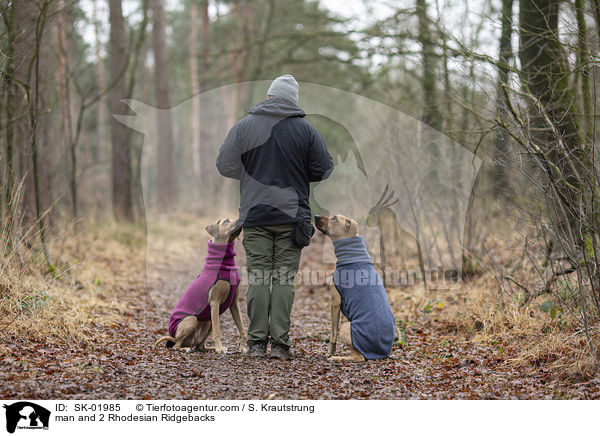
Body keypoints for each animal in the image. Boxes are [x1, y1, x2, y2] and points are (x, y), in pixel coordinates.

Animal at [156, 218, 250, 354]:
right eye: (227, 220)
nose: (242, 218)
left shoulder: (234, 302)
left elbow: (242, 327)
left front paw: (242, 347)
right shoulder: (215, 302)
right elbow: (218, 330)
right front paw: (220, 349)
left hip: (207, 322)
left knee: (200, 346)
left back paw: (210, 348)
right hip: (191, 320)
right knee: (176, 346)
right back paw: (186, 348)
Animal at [312, 214, 396, 362]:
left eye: (334, 218)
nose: (315, 216)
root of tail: (381, 353)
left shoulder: (335, 301)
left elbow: (333, 333)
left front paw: (330, 353)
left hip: (347, 326)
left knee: (359, 357)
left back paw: (337, 358)